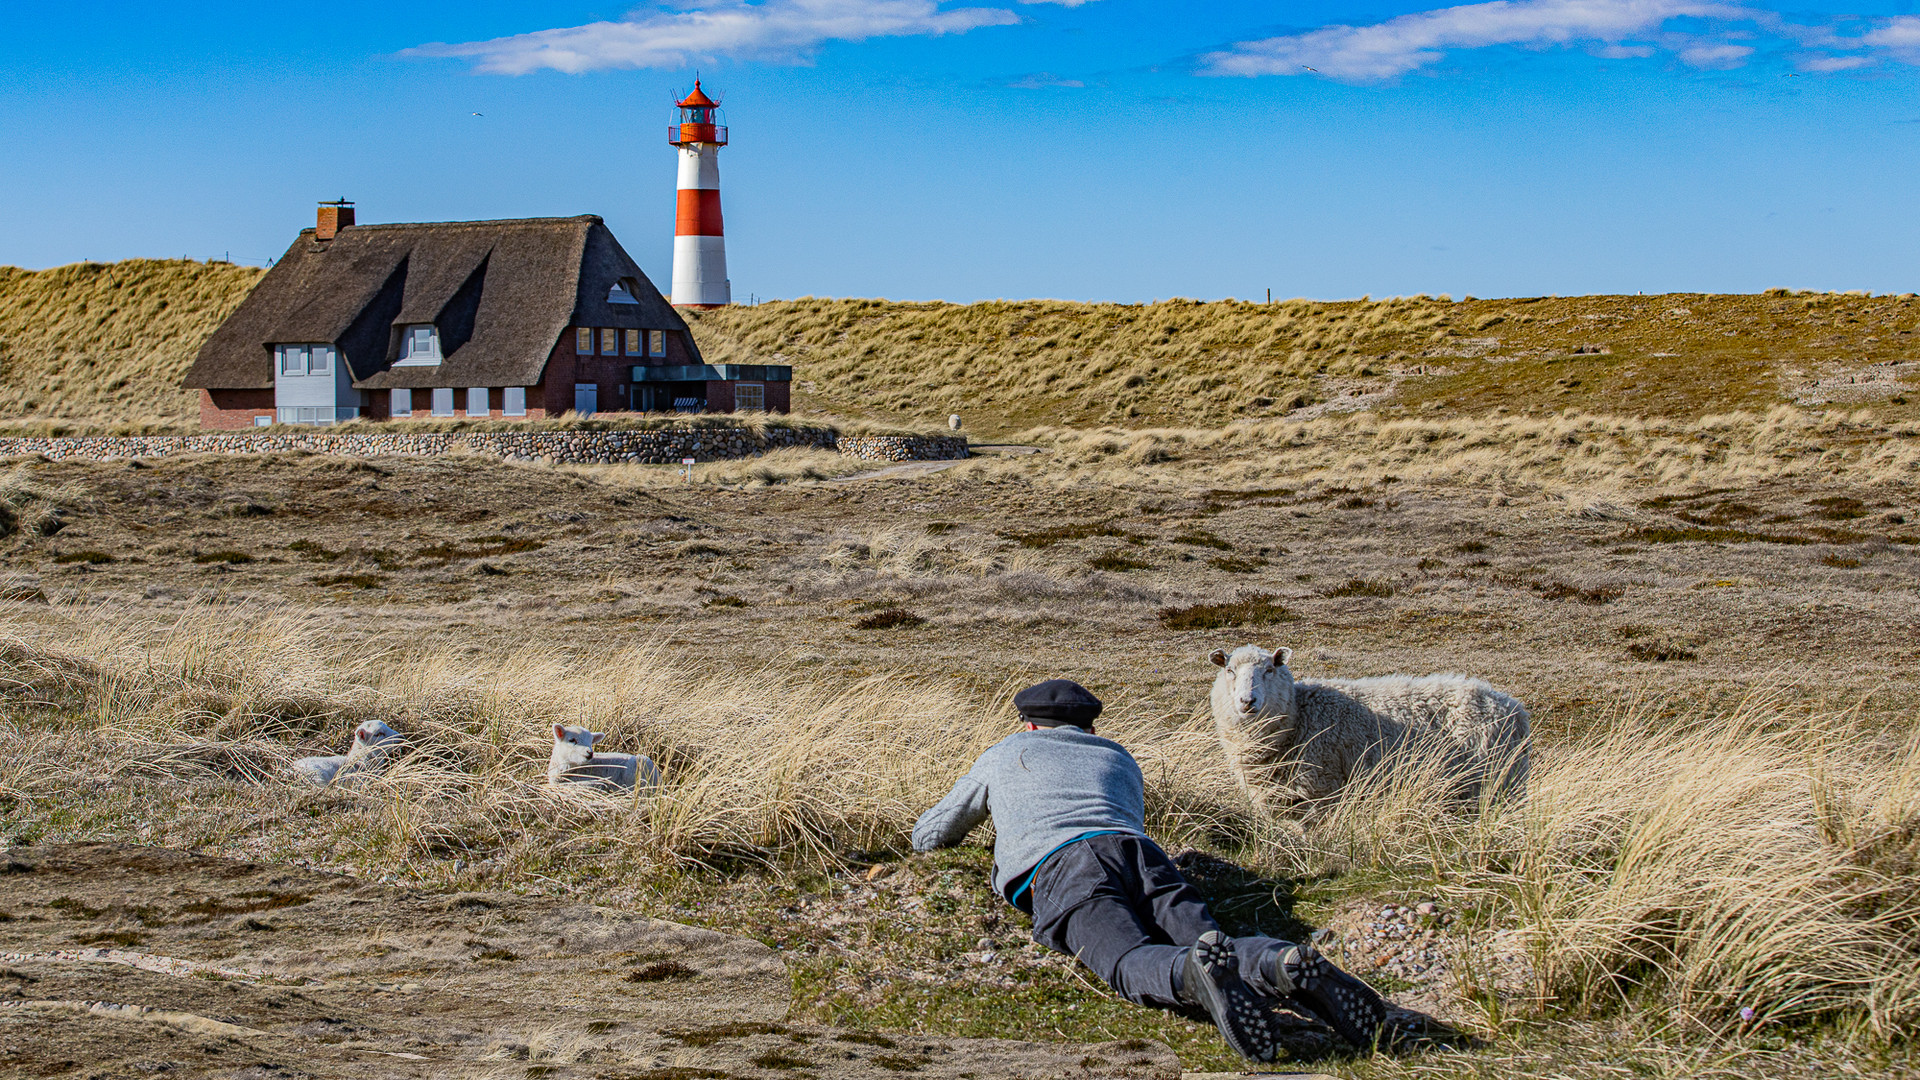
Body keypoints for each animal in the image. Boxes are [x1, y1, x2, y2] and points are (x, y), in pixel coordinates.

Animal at [1213, 638, 1528, 807]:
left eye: (1269, 669)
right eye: (1230, 670)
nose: (1247, 701)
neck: (1300, 715)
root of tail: (1513, 707)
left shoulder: (1321, 789)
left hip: (1490, 781)